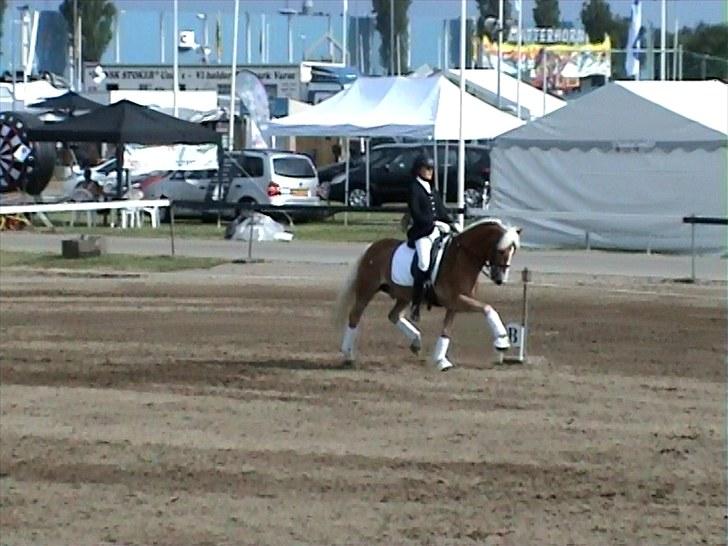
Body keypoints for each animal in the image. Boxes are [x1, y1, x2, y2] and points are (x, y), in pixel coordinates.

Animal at [332, 218, 520, 370]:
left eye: (513, 251)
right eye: (501, 250)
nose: (500, 279)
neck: (462, 258)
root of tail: (372, 247)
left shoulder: (454, 304)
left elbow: (446, 331)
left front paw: (441, 360)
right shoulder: (457, 299)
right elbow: (488, 308)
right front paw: (502, 341)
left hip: (404, 296)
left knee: (393, 315)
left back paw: (416, 341)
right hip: (367, 290)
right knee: (354, 316)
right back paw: (348, 356)